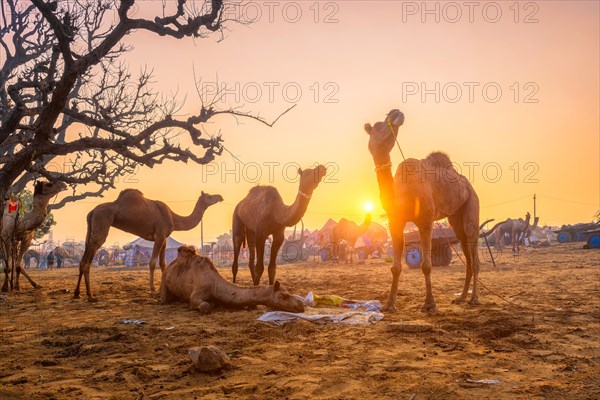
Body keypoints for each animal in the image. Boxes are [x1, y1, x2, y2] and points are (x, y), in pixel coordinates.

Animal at [73, 188, 223, 300]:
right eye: (209, 196)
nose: (220, 196)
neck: (173, 218)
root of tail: (92, 212)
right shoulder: (160, 235)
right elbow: (152, 263)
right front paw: (153, 290)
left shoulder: (164, 238)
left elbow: (163, 263)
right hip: (102, 220)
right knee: (88, 258)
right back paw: (90, 295)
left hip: (90, 229)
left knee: (82, 258)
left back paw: (77, 293)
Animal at [161, 245, 304, 314]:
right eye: (284, 295)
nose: (301, 305)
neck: (215, 285)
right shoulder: (197, 293)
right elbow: (205, 305)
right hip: (164, 278)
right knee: (165, 299)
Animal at [366, 109, 482, 312]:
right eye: (379, 125)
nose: (395, 112)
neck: (400, 195)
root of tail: (468, 185)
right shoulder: (395, 222)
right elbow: (395, 267)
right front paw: (389, 304)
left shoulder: (425, 221)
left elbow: (426, 265)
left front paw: (429, 303)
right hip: (455, 218)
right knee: (465, 252)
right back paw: (461, 298)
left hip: (472, 203)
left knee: (473, 251)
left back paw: (474, 298)